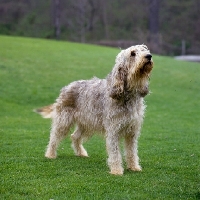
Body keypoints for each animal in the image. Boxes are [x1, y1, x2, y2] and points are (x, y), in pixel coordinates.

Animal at [34, 44, 153, 174]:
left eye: (144, 49)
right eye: (132, 53)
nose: (149, 56)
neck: (128, 95)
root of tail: (67, 87)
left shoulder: (132, 131)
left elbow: (132, 152)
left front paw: (134, 167)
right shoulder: (113, 130)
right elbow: (115, 153)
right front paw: (116, 171)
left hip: (86, 123)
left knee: (74, 136)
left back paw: (81, 153)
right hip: (64, 120)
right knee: (54, 137)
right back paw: (50, 154)